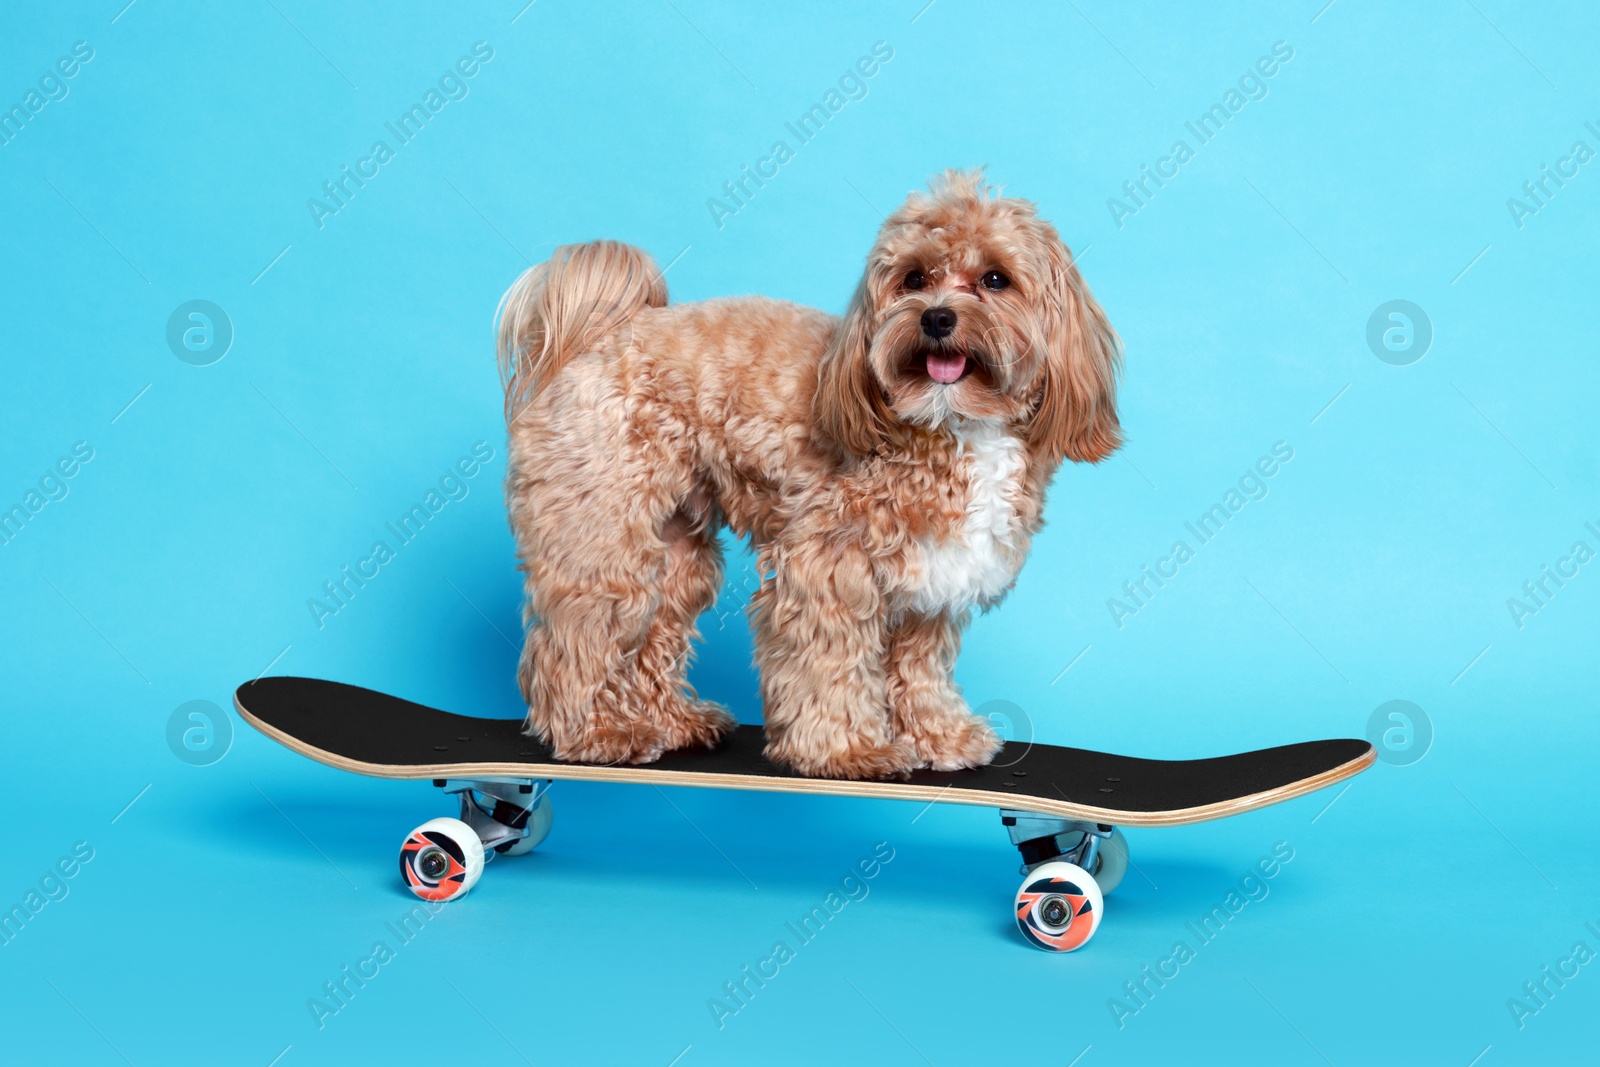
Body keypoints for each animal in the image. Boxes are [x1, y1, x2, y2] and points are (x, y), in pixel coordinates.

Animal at [492, 171, 1120, 780]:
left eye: (995, 279)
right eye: (914, 277)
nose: (937, 317)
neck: (949, 422)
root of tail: (599, 335)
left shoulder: (930, 582)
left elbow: (919, 665)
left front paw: (938, 735)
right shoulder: (828, 565)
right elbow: (829, 661)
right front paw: (849, 752)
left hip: (675, 552)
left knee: (652, 634)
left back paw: (670, 722)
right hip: (603, 537)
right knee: (576, 641)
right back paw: (595, 732)